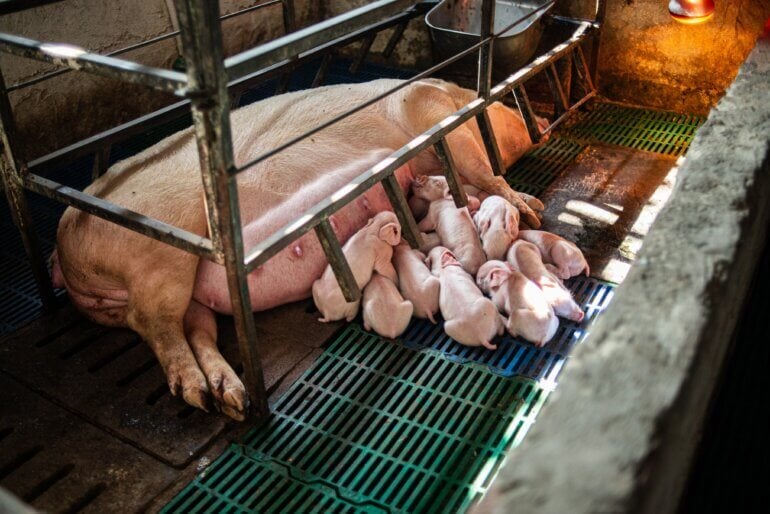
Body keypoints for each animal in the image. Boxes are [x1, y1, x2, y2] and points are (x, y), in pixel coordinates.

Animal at [53, 78, 547, 419]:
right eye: (506, 104)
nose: (541, 119)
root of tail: (64, 247)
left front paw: (528, 208)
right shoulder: (431, 115)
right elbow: (484, 171)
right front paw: (533, 212)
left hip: (185, 284)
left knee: (194, 329)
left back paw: (229, 399)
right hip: (160, 256)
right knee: (153, 322)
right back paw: (201, 395)